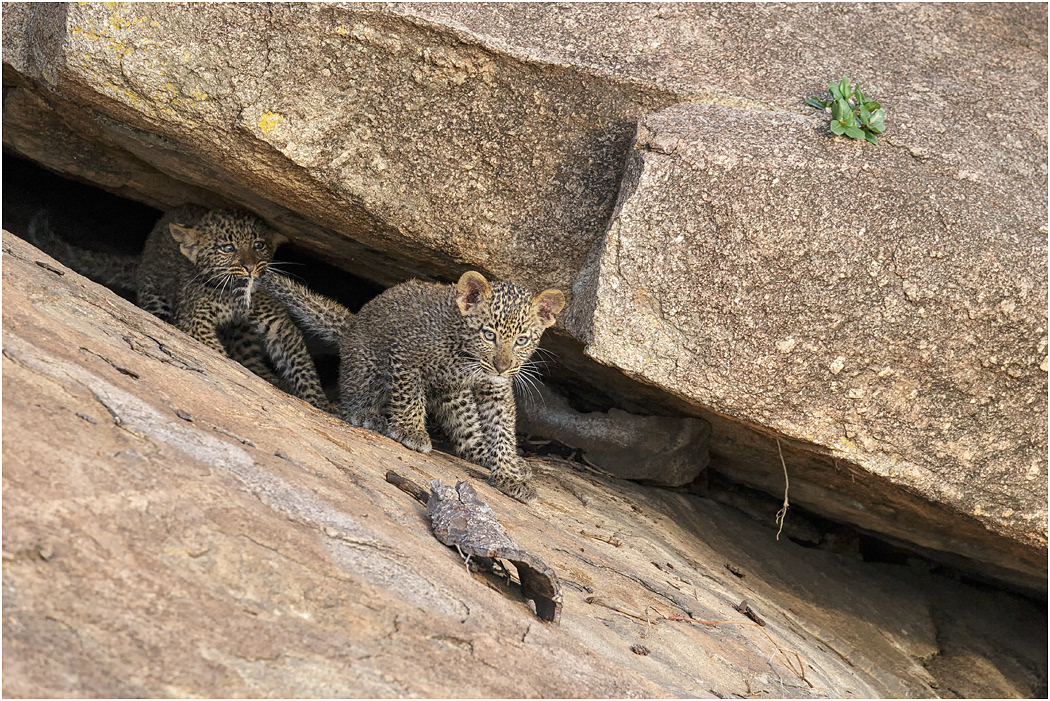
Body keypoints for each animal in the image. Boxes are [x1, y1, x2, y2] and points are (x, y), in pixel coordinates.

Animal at [261, 269, 566, 503]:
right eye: (489, 335)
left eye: (522, 340)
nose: (502, 366)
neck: (465, 353)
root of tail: (352, 325)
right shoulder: (406, 354)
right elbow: (409, 395)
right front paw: (411, 431)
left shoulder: (495, 389)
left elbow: (501, 431)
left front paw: (508, 474)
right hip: (370, 370)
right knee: (350, 399)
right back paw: (368, 416)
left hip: (454, 394)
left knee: (467, 438)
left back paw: (495, 457)